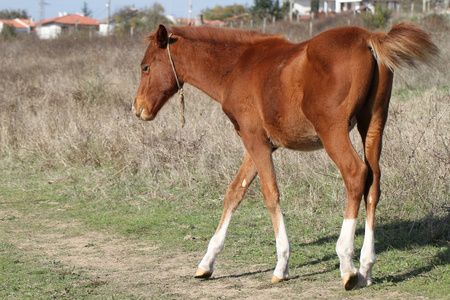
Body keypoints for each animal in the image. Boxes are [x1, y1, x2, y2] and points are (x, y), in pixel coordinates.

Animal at [134, 23, 440, 290]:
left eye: (145, 66)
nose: (138, 109)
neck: (236, 66)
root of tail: (369, 38)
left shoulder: (254, 140)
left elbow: (270, 193)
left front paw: (281, 266)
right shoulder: (260, 143)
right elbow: (234, 192)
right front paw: (206, 263)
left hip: (332, 130)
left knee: (356, 175)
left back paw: (347, 264)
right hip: (374, 123)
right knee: (374, 184)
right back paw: (365, 267)